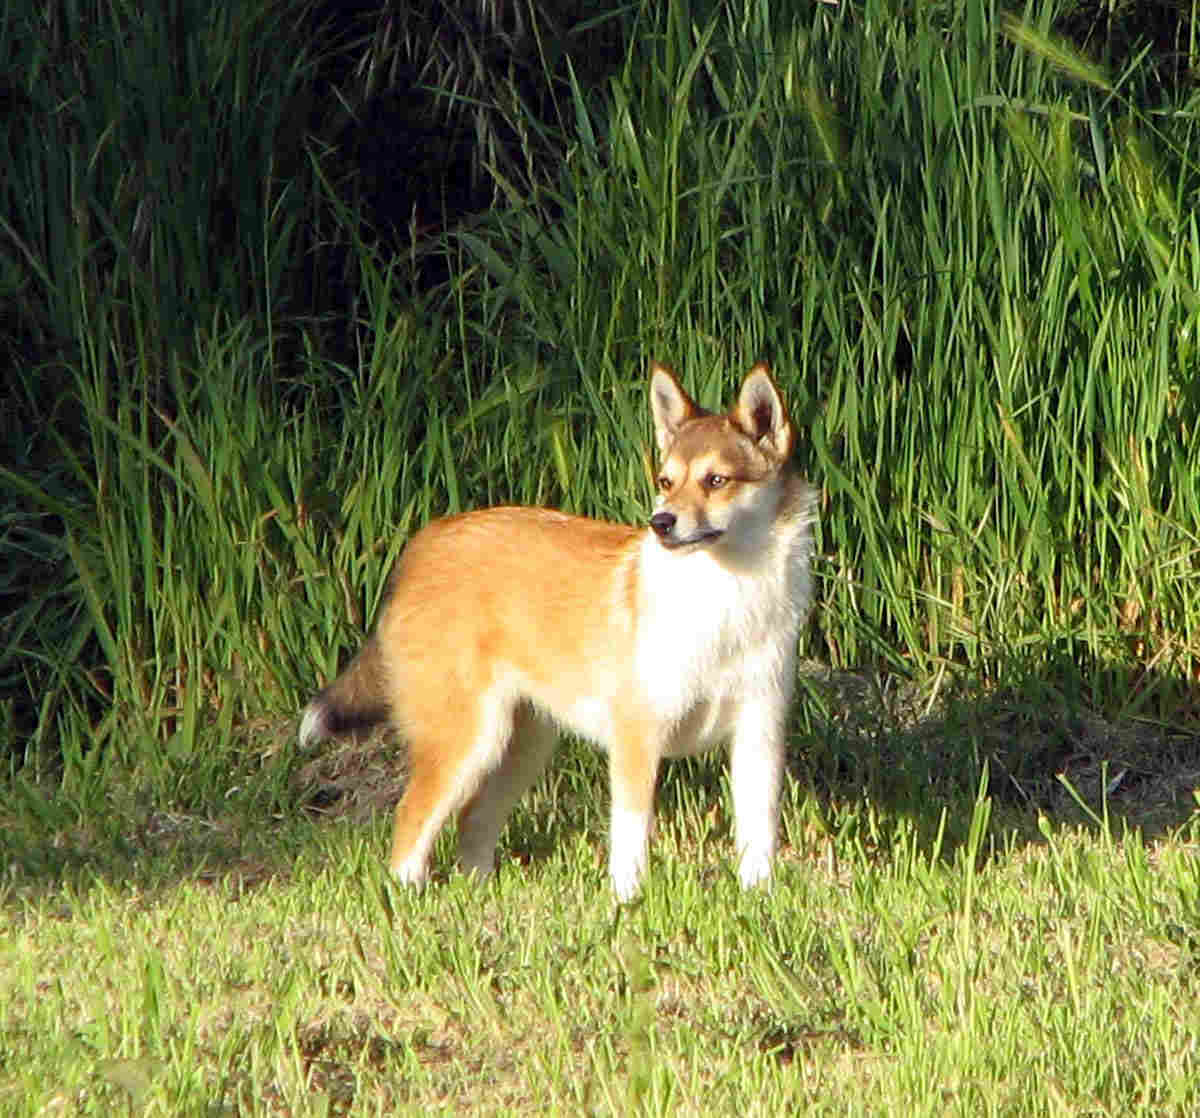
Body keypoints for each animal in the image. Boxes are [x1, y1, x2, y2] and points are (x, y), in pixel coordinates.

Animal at [302, 362, 816, 902]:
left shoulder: (758, 737)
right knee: (409, 825)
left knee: (471, 823)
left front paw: (761, 899)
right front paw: (628, 906)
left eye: (717, 480)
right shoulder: (637, 741)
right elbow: (631, 844)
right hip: (467, 743)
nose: (661, 523)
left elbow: (759, 838)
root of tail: (424, 544)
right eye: (666, 480)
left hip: (518, 748)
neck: (723, 600)